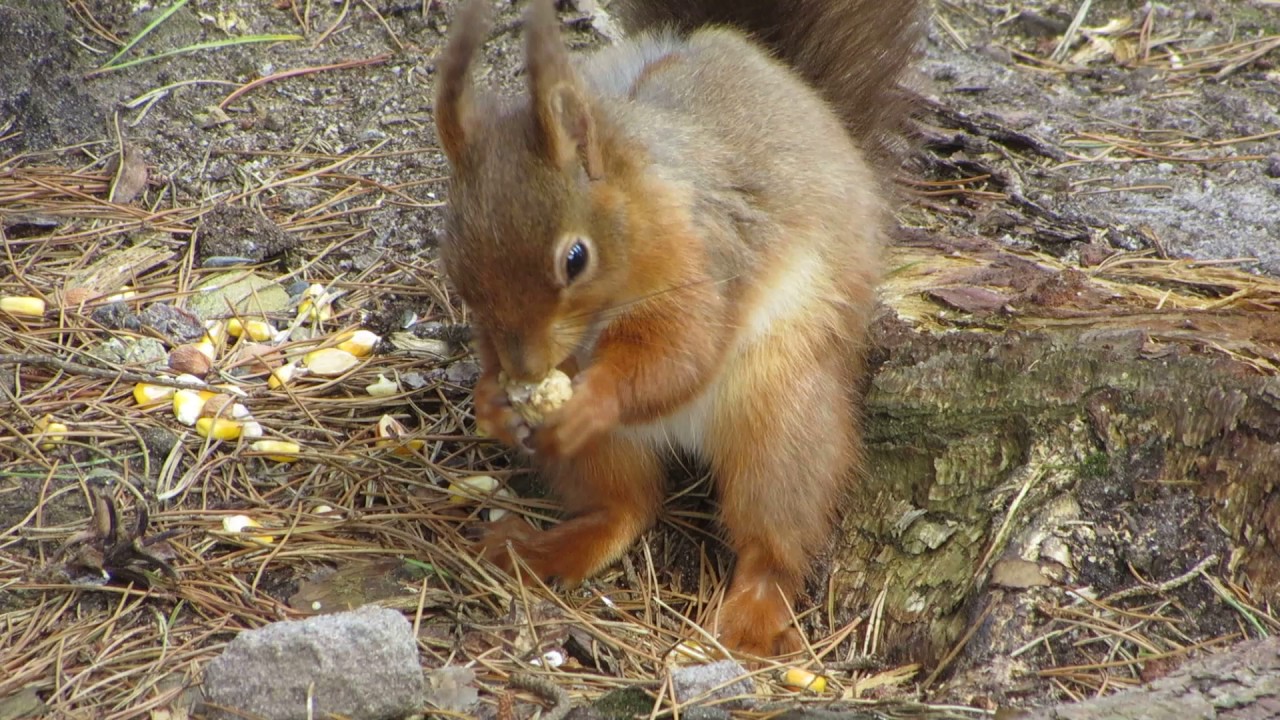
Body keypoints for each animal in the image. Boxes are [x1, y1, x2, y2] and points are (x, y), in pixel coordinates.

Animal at [432, 0, 920, 656]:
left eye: (575, 259)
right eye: (457, 266)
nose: (527, 369)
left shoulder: (704, 259)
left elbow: (682, 350)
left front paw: (592, 398)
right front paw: (491, 401)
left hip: (780, 416)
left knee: (776, 531)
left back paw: (751, 616)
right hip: (609, 453)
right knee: (626, 507)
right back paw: (541, 548)